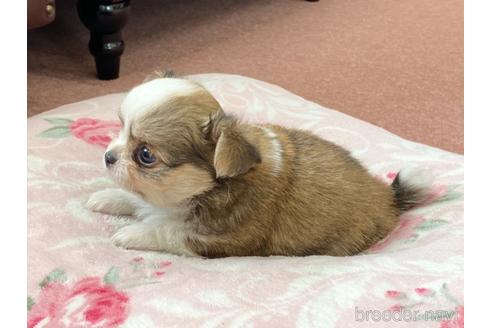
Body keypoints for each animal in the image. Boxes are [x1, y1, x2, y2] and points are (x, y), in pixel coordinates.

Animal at [87, 73, 430, 258]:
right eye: (119, 127)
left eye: (145, 154)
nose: (108, 157)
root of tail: (387, 198)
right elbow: (135, 198)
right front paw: (108, 197)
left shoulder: (221, 241)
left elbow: (166, 231)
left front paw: (132, 233)